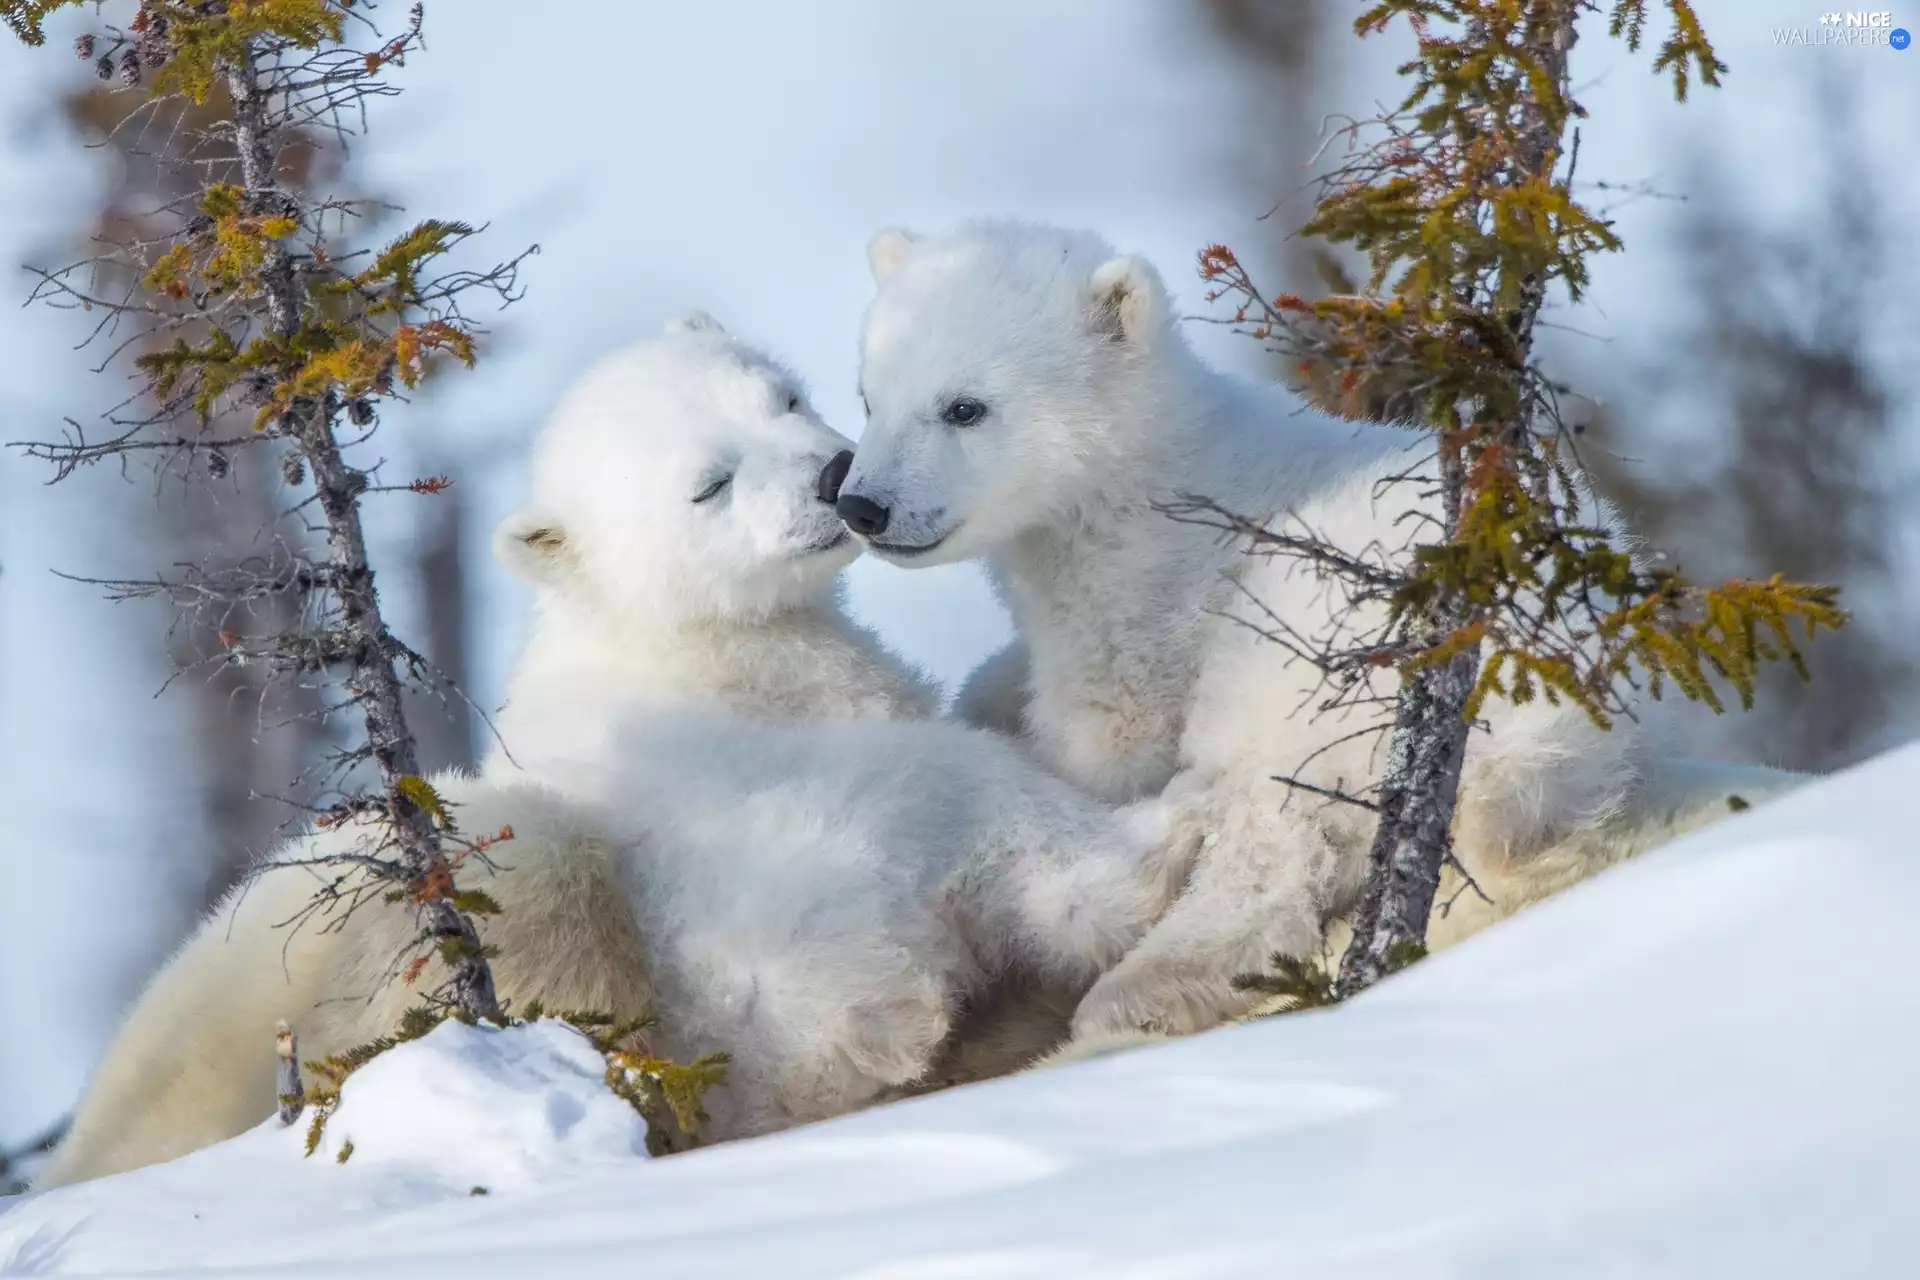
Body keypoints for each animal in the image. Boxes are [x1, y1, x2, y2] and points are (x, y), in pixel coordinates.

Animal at [37, 316, 1172, 1188]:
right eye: (710, 483)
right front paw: (1144, 845)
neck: (687, 647)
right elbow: (870, 877)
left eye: (784, 395)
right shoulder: (733, 867)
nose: (834, 473)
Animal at [833, 220, 1808, 1042]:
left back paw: (1143, 989)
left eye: (965, 407)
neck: (1146, 483)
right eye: (870, 395)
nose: (861, 504)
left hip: (1329, 641)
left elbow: (1114, 738)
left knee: (1268, 824)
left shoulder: (1149, 595)